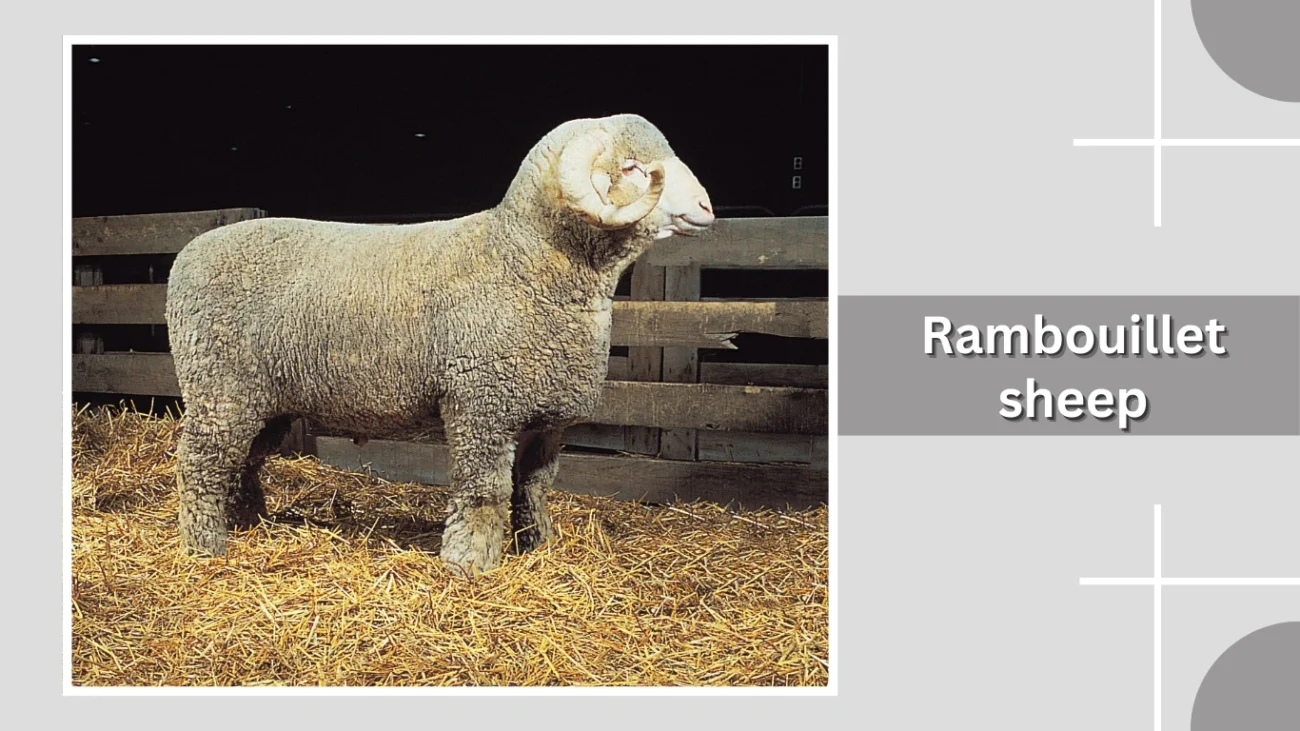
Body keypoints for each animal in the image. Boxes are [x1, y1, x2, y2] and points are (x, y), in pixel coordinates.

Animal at [166, 114, 715, 576]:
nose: (708, 207)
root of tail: (186, 254)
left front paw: (537, 548)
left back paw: (247, 522)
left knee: (241, 460)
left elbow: (534, 488)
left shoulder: (546, 420)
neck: (522, 259)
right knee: (201, 462)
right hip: (220, 388)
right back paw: (205, 545)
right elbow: (484, 490)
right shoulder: (482, 405)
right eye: (632, 166)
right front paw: (469, 563)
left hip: (266, 400)